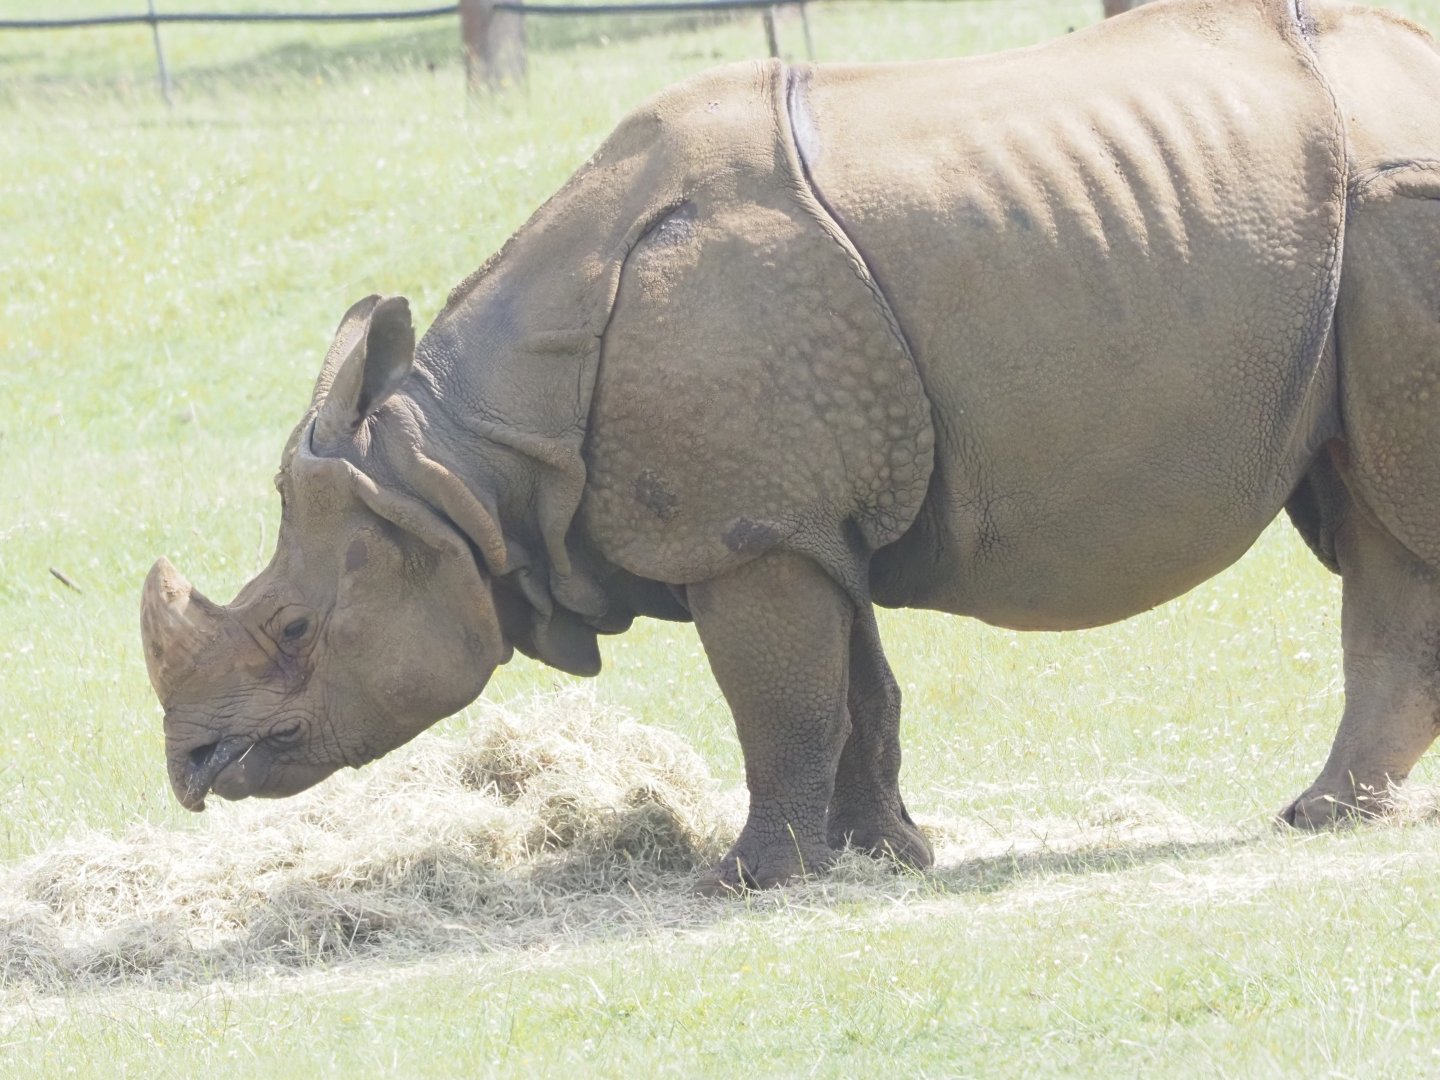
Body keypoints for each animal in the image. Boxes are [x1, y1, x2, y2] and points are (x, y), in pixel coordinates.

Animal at [142, 0, 1440, 891]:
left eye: (294, 631)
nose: (190, 770)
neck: (460, 471)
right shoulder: (802, 517)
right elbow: (856, 689)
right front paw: (881, 857)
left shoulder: (745, 532)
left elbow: (781, 699)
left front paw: (748, 881)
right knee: (1372, 515)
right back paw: (1327, 817)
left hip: (1395, 208)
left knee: (1393, 504)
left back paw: (1321, 816)